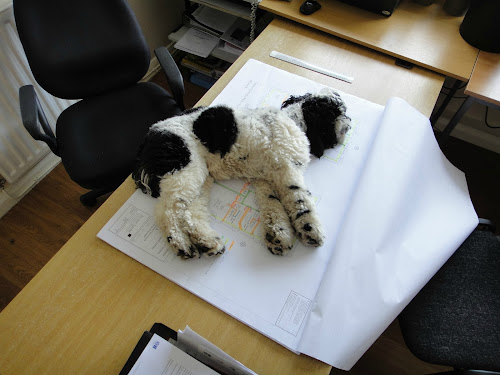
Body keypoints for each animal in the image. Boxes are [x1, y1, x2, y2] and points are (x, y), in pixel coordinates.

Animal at [133, 92, 352, 260]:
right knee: (166, 212)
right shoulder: (287, 169)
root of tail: (149, 140)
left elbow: (272, 206)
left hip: (200, 178)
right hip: (183, 171)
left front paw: (278, 235)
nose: (350, 124)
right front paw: (310, 230)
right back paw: (181, 245)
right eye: (339, 111)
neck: (294, 119)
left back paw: (208, 243)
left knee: (189, 213)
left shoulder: (265, 179)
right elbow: (300, 200)